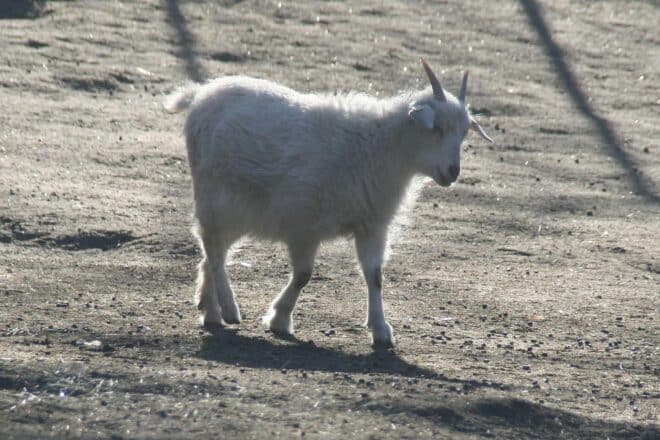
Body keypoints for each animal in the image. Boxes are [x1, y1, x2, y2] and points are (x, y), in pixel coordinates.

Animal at [163, 59, 493, 346]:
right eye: (435, 128)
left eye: (464, 133)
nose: (453, 171)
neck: (378, 147)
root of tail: (201, 93)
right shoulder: (304, 224)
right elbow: (303, 276)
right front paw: (279, 318)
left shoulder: (371, 226)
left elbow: (375, 277)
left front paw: (381, 329)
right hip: (216, 198)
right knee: (213, 251)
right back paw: (229, 309)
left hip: (238, 210)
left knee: (212, 253)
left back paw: (210, 311)